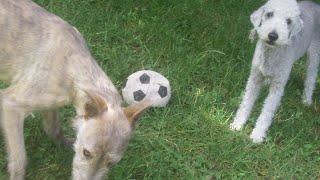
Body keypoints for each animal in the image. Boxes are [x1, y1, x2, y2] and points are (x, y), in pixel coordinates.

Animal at [229, 0, 320, 143]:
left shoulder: (278, 85)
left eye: (288, 21)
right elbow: (246, 102)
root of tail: (316, 5)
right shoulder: (254, 77)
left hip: (314, 54)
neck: (270, 53)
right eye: (269, 14)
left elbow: (268, 110)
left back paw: (306, 99)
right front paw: (237, 125)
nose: (273, 36)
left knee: (311, 76)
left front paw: (257, 135)